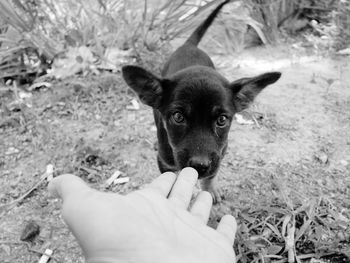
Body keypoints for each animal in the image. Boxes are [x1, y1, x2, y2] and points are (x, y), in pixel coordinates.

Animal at [121, 0, 280, 203]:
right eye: (178, 117)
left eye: (222, 120)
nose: (200, 165)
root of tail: (188, 45)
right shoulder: (165, 161)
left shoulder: (220, 153)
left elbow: (211, 176)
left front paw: (209, 190)